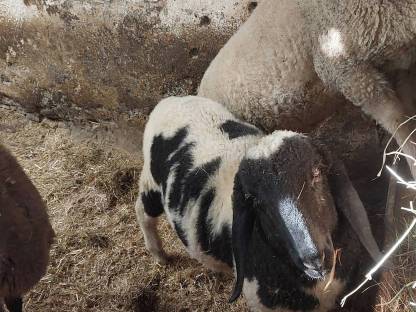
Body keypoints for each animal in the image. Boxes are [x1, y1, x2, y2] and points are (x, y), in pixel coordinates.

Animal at [136, 96, 380, 310]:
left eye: (317, 173)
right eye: (256, 201)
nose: (312, 259)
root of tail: (169, 100)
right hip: (151, 185)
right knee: (142, 211)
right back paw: (158, 254)